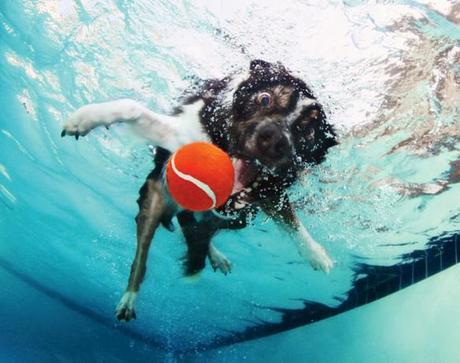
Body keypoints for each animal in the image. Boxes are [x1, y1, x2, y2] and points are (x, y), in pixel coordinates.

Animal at [61, 60, 338, 324]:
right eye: (264, 98)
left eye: (307, 132)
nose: (273, 140)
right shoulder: (181, 135)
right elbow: (133, 107)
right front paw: (86, 117)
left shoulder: (268, 191)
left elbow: (291, 221)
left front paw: (316, 254)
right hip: (153, 201)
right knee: (142, 257)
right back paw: (129, 298)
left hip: (235, 218)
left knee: (197, 225)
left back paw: (213, 254)